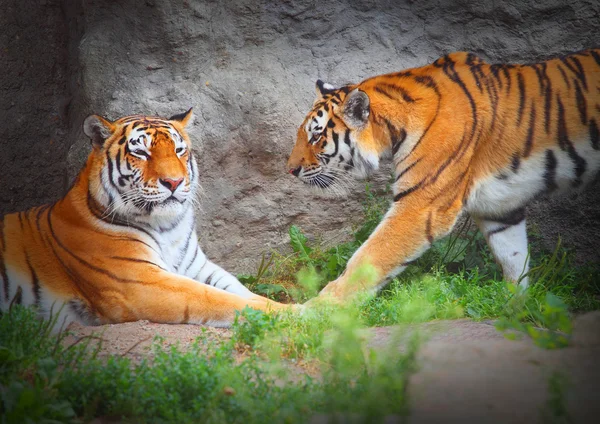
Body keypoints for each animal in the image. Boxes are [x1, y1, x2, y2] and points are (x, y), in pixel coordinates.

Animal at [0, 108, 290, 328]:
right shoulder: (141, 283)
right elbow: (219, 299)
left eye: (179, 150)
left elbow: (240, 290)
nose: (174, 182)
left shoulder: (199, 268)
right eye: (141, 153)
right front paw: (296, 314)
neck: (168, 226)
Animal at [288, 48, 600, 302]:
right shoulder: (500, 205)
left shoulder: (421, 206)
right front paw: (515, 307)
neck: (396, 128)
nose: (290, 169)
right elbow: (514, 257)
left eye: (316, 136)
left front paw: (316, 310)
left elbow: (370, 257)